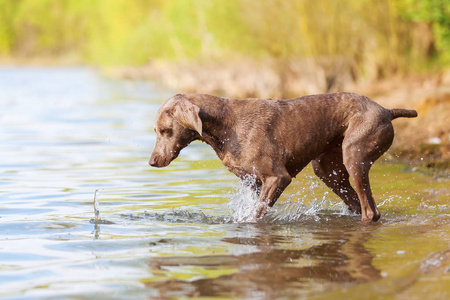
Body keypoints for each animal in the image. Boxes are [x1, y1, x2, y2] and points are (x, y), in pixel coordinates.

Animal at [149, 92, 416, 221]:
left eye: (164, 130)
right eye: (156, 131)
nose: (152, 162)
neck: (225, 125)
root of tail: (386, 110)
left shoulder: (277, 177)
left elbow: (255, 215)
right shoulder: (254, 182)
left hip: (354, 155)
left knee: (370, 212)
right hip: (328, 169)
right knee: (363, 207)